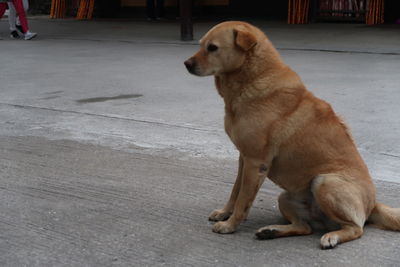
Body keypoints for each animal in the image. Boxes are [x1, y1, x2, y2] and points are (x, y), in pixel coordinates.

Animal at [184, 21, 400, 249]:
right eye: (201, 45)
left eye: (212, 48)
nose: (186, 64)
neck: (253, 78)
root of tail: (373, 205)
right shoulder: (244, 159)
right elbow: (235, 192)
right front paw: (225, 213)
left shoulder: (255, 162)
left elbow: (243, 200)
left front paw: (230, 225)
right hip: (285, 197)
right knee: (304, 228)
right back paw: (271, 231)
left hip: (324, 182)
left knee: (356, 229)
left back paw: (331, 237)